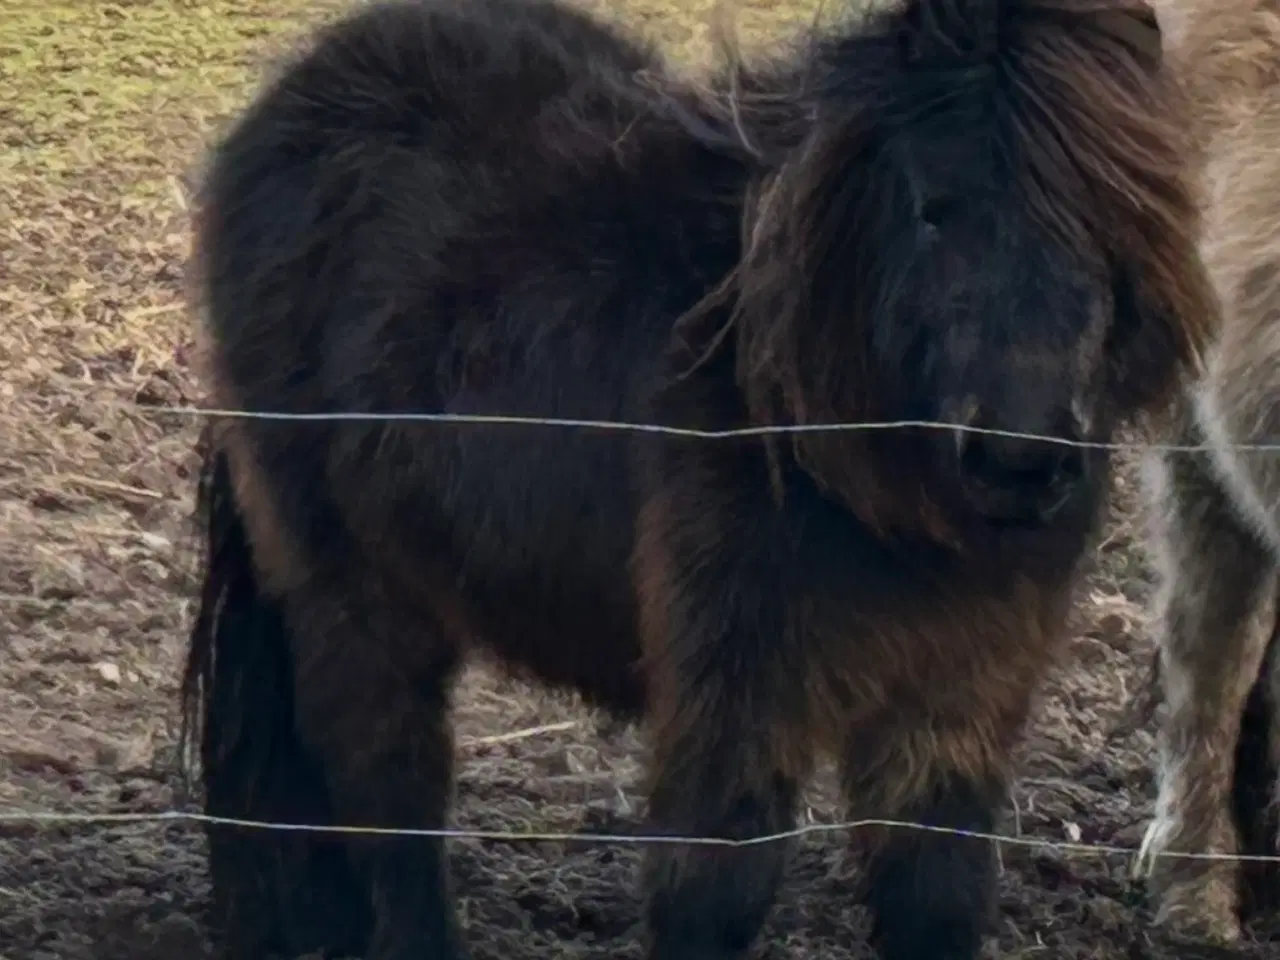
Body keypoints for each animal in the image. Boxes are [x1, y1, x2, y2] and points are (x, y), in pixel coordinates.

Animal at [180, 1, 1208, 960]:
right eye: (931, 205)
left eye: (1123, 211)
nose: (1018, 461)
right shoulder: (735, 702)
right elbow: (715, 898)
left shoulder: (957, 700)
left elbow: (937, 900)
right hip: (357, 595)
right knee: (388, 795)